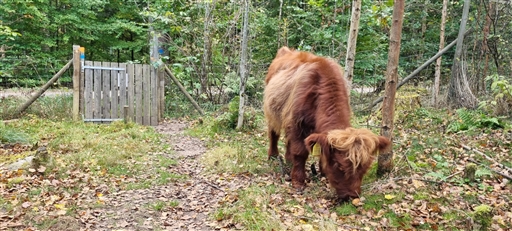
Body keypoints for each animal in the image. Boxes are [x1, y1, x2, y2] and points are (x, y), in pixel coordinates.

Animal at [264, 47, 388, 200]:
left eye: (364, 168)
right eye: (339, 165)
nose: (352, 195)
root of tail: (286, 50)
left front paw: (323, 173)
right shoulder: (297, 125)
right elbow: (300, 152)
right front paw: (298, 181)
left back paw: (288, 160)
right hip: (272, 112)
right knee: (273, 134)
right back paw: (273, 156)